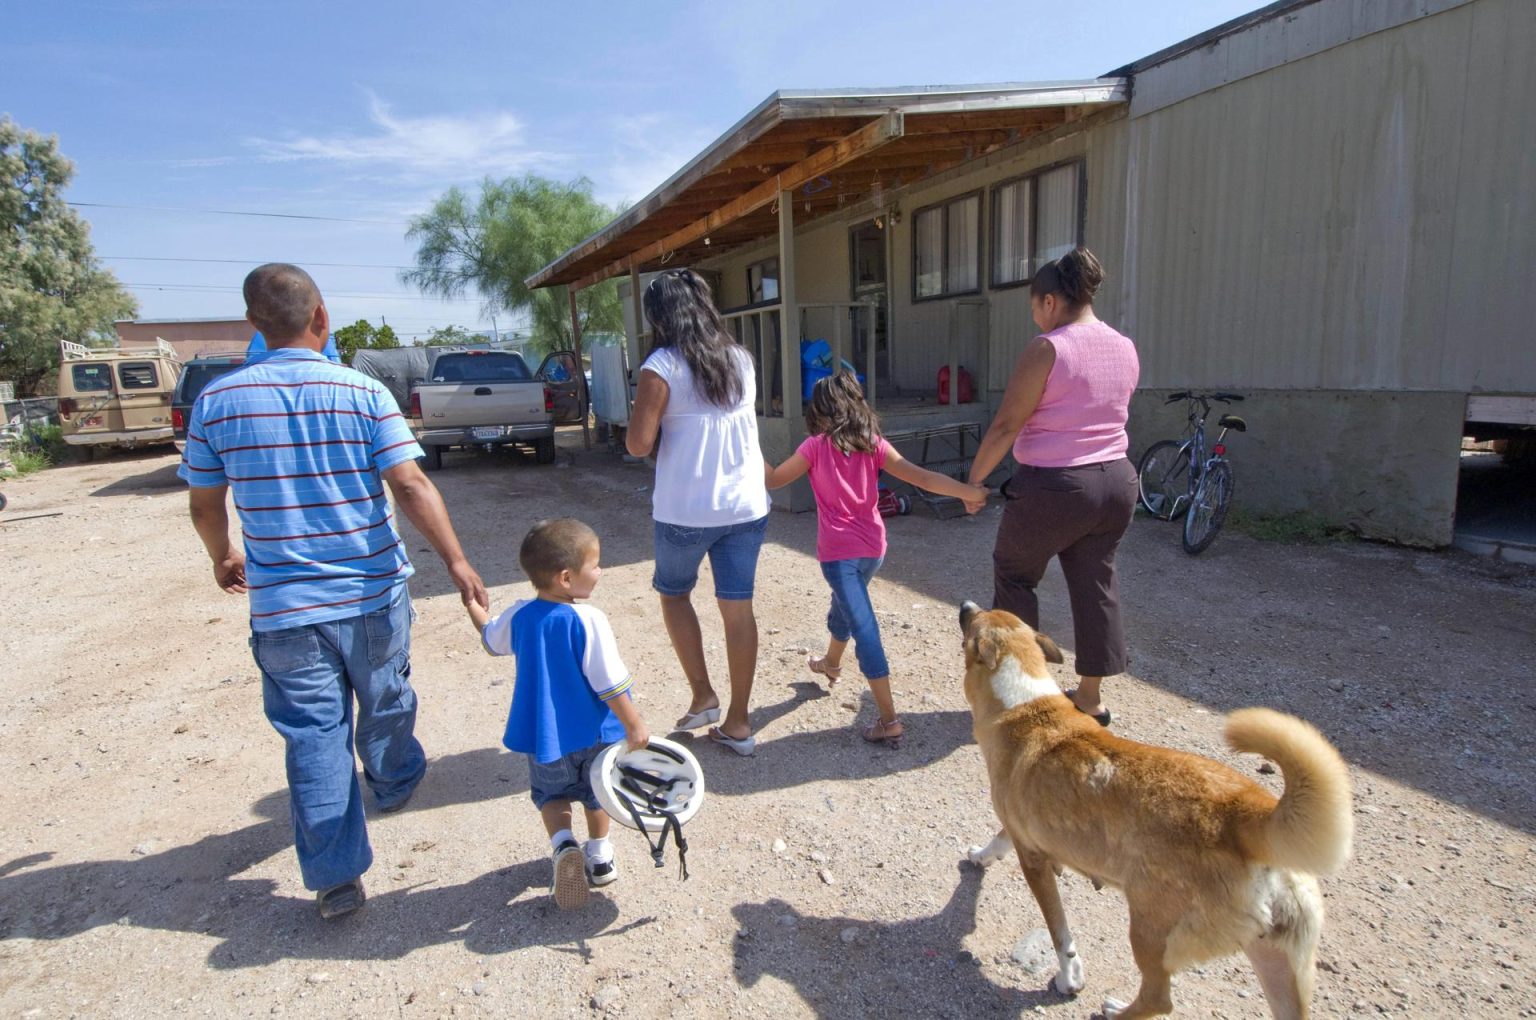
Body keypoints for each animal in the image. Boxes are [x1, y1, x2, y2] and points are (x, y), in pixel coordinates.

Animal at [958, 602, 1357, 1013]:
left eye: (975, 620)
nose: (967, 605)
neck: (1025, 702)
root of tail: (1249, 815)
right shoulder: (1021, 830)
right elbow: (1000, 838)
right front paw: (982, 855)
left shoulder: (1034, 862)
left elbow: (1060, 933)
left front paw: (1069, 978)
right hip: (1278, 964)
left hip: (1150, 930)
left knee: (1158, 999)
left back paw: (1116, 1011)